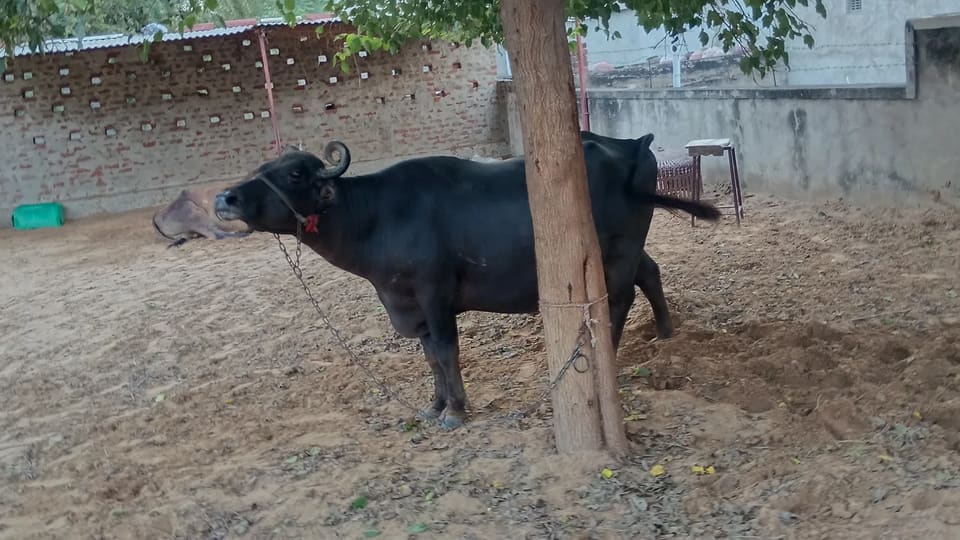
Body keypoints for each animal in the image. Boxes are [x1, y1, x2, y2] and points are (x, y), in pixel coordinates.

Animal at [214, 136, 719, 429]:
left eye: (295, 172)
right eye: (264, 166)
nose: (225, 198)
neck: (378, 216)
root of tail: (633, 144)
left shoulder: (434, 294)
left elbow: (445, 351)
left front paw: (456, 410)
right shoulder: (409, 303)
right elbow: (429, 358)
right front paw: (434, 405)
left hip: (615, 252)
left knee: (616, 301)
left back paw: (609, 355)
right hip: (627, 251)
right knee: (649, 274)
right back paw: (665, 332)